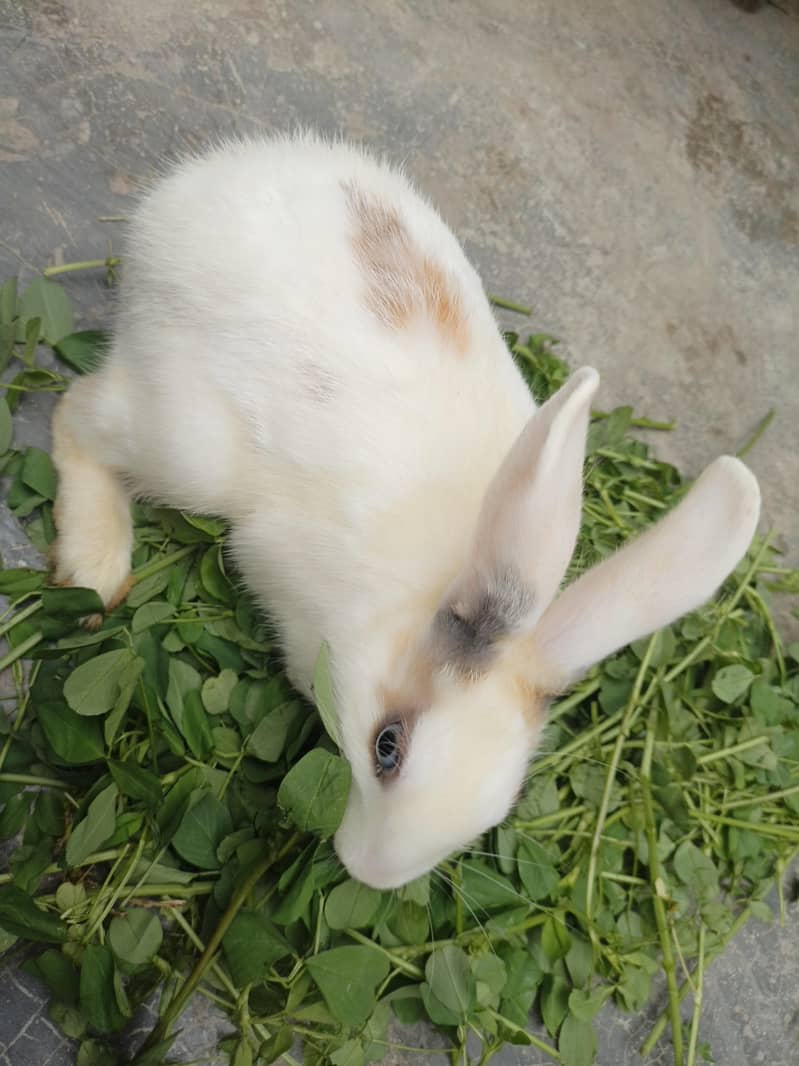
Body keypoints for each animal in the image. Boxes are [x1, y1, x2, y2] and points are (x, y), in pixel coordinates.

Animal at [50, 132, 761, 890]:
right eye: (385, 747)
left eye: (500, 804)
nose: (367, 873)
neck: (426, 594)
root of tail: (198, 184)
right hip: (187, 443)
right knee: (79, 413)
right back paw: (94, 570)